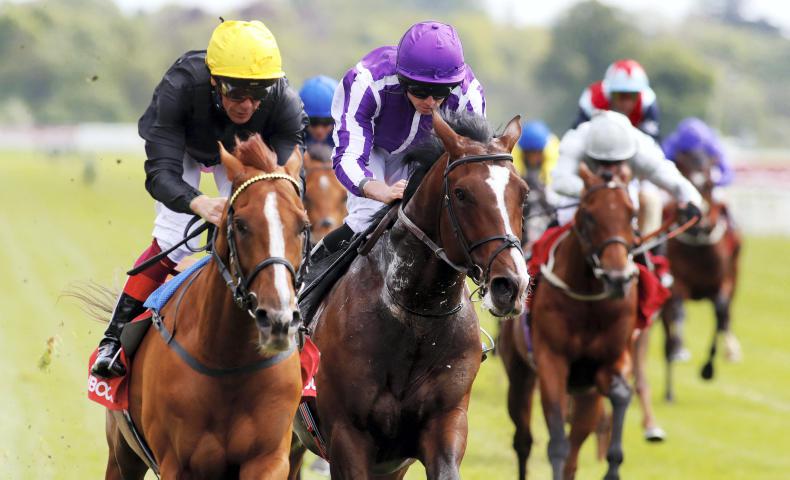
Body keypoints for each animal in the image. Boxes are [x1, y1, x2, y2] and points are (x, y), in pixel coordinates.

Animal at [289, 111, 530, 480]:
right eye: (461, 193)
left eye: (524, 193)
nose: (512, 285)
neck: (416, 315)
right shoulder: (347, 436)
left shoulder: (444, 426)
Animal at [499, 165, 639, 480]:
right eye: (589, 214)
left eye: (631, 214)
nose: (617, 279)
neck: (589, 303)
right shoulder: (551, 360)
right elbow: (557, 444)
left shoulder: (609, 360)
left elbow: (621, 394)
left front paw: (613, 466)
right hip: (519, 374)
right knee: (523, 440)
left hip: (586, 395)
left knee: (575, 449)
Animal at [661, 148, 741, 401]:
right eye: (686, 177)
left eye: (708, 184)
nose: (699, 223)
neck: (699, 247)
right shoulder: (678, 282)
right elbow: (678, 310)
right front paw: (679, 348)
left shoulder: (722, 282)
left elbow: (721, 311)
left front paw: (708, 368)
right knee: (667, 338)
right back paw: (669, 389)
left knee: (726, 316)